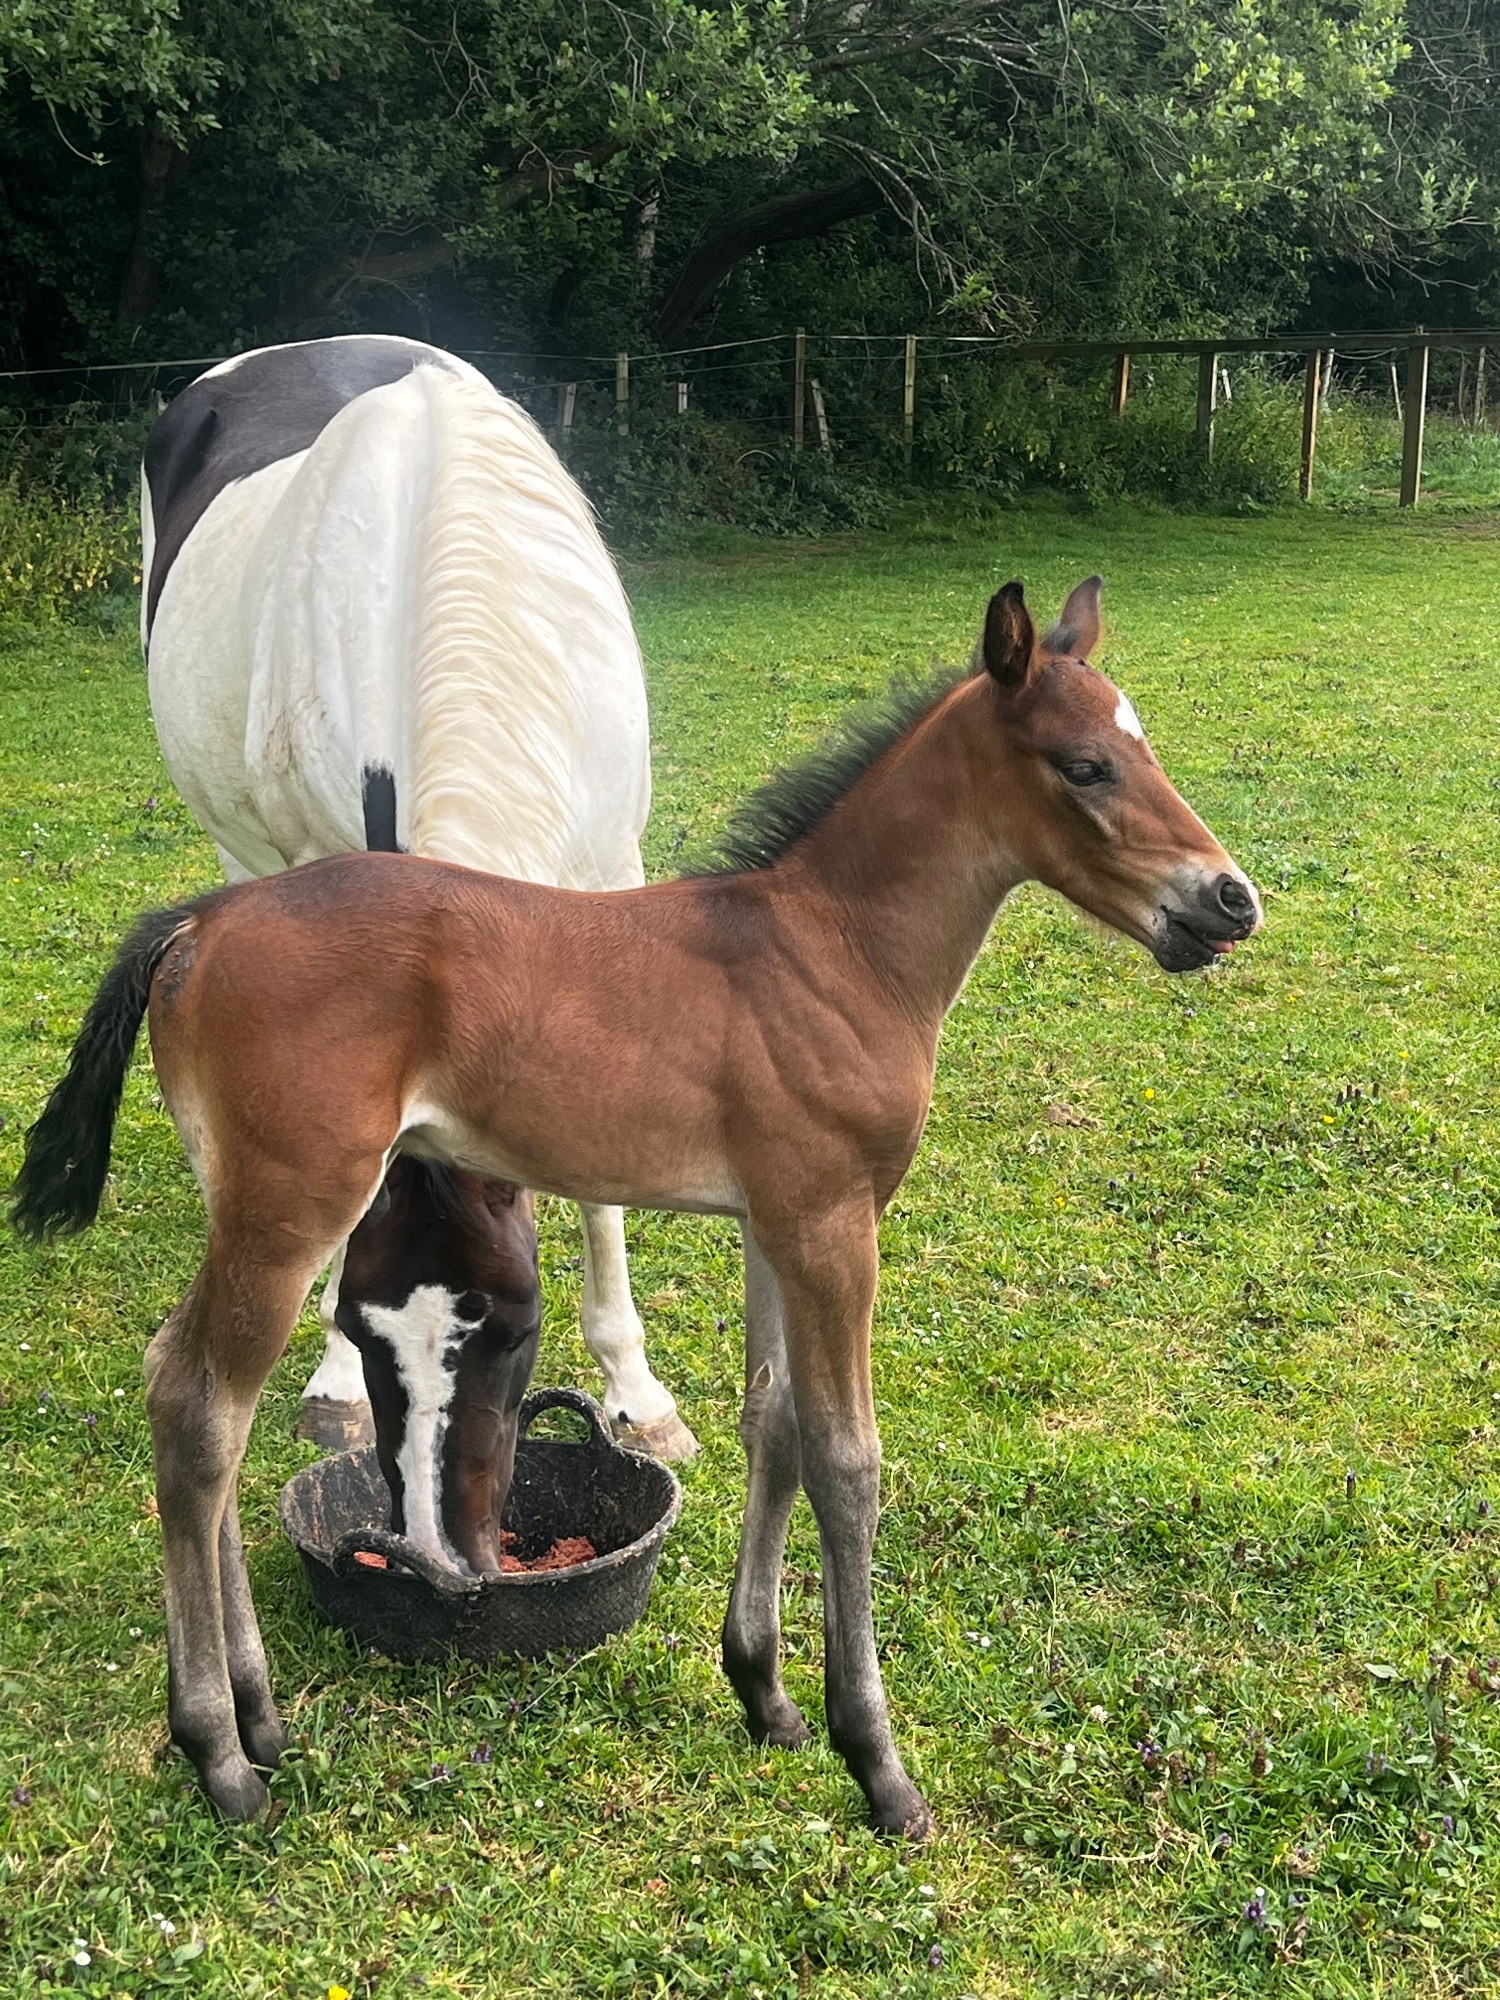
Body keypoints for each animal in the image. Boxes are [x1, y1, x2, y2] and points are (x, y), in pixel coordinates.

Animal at [15, 576, 1261, 1835]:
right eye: (1086, 765)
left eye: (1141, 746)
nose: (1230, 897)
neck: (836, 948)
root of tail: (199, 921)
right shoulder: (833, 1220)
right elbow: (848, 1459)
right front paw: (878, 1760)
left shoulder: (774, 1219)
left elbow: (775, 1424)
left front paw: (765, 1691)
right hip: (291, 1205)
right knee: (199, 1408)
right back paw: (218, 1750)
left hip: (254, 1203)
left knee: (195, 1398)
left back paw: (260, 1718)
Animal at [140, 332, 695, 1463]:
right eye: (376, 1330)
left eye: (509, 1330)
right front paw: (332, 1380)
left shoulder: (609, 872)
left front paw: (637, 1391)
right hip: (243, 855)